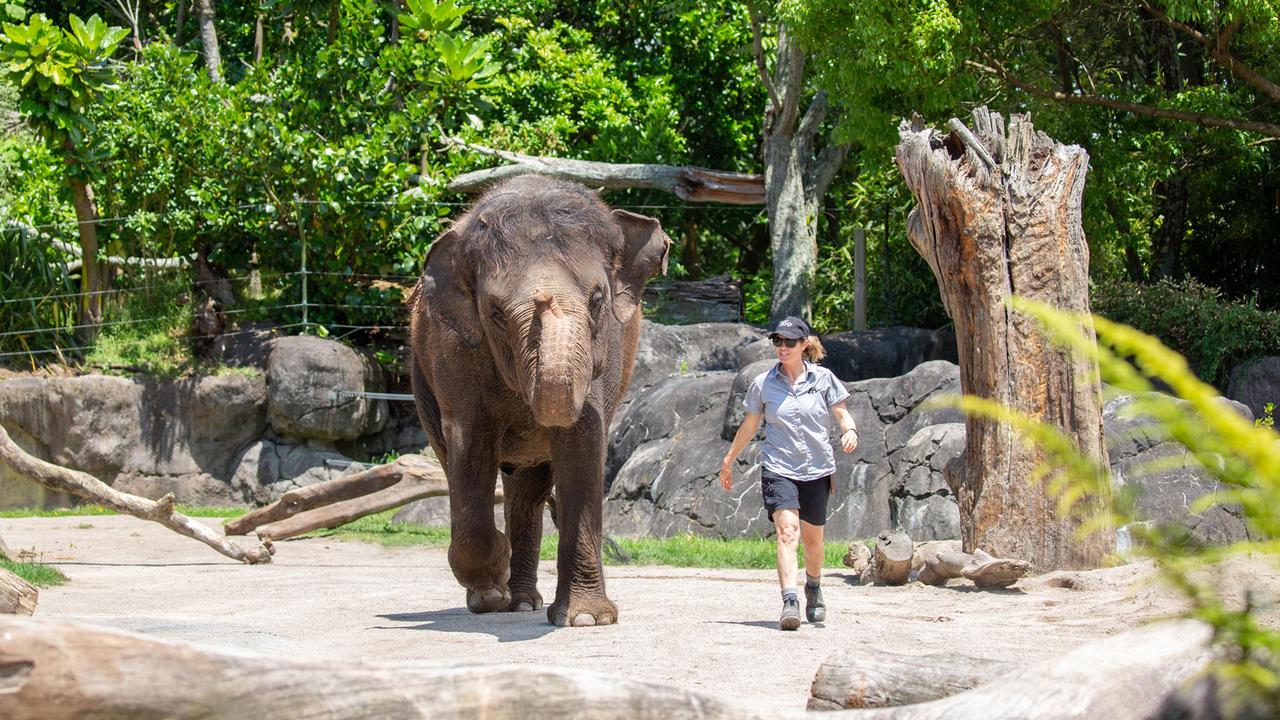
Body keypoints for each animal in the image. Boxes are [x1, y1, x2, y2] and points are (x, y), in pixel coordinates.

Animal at [407, 172, 670, 622]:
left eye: (597, 299)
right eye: (495, 312)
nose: (545, 301)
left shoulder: (607, 350)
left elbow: (583, 440)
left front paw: (584, 619)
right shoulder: (454, 353)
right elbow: (469, 443)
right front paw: (491, 588)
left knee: (528, 491)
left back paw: (525, 601)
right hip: (422, 382)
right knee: (475, 472)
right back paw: (508, 600)